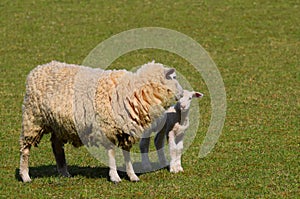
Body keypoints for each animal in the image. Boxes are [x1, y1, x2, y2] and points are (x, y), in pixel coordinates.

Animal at [19, 59, 183, 183]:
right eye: (174, 78)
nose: (182, 93)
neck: (134, 90)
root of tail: (38, 69)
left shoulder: (125, 131)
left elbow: (127, 156)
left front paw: (132, 175)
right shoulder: (108, 128)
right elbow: (111, 155)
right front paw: (115, 176)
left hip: (58, 124)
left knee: (57, 146)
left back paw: (64, 172)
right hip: (32, 119)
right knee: (25, 149)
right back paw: (25, 176)